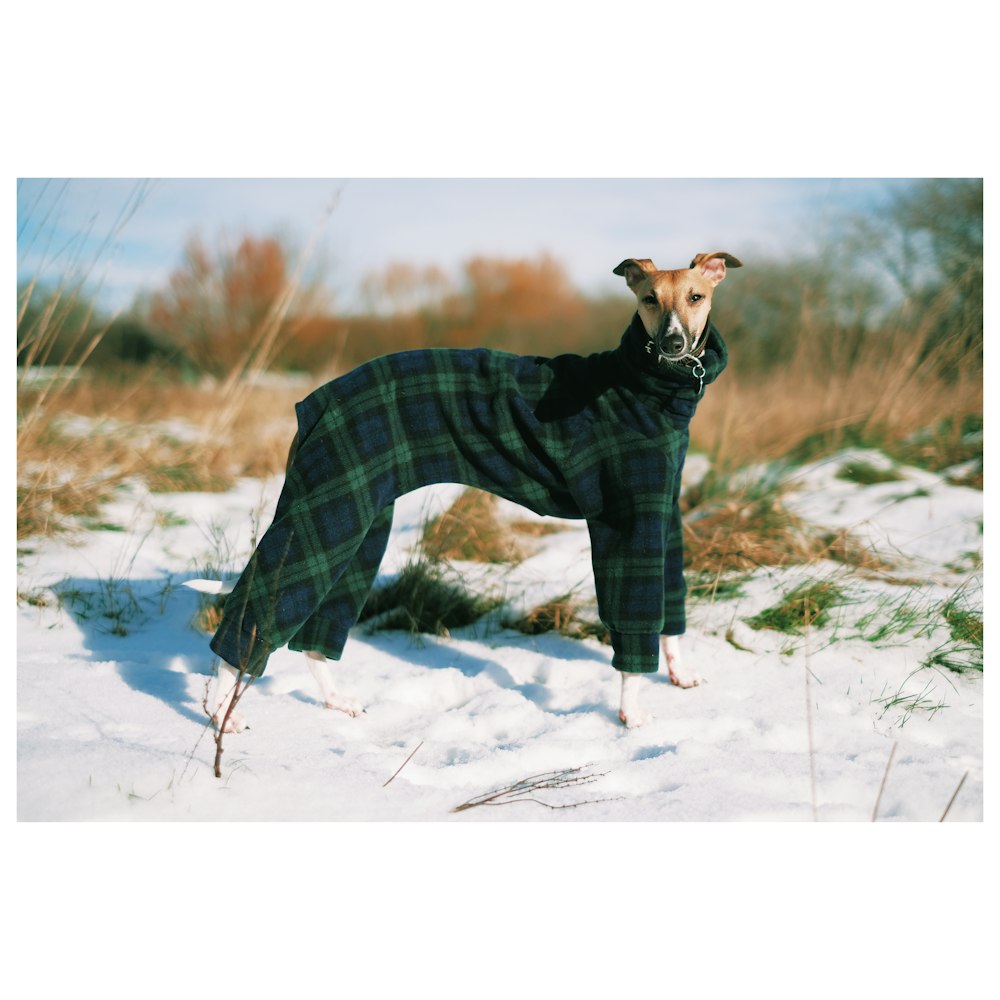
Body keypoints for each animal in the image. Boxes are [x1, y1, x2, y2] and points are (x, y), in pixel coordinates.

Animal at [203, 254, 740, 732]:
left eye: (695, 297)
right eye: (649, 299)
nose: (673, 342)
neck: (646, 389)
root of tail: (316, 400)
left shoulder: (664, 513)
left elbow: (671, 606)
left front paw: (680, 674)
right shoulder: (629, 525)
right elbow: (635, 621)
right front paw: (630, 714)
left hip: (357, 517)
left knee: (316, 635)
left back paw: (336, 700)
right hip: (329, 507)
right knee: (257, 612)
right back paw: (220, 711)